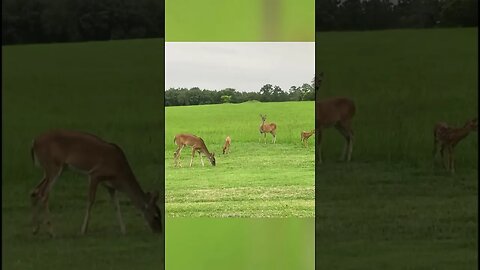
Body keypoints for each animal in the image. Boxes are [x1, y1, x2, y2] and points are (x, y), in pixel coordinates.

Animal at [29, 130, 161, 237]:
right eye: (156, 215)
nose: (159, 231)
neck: (119, 172)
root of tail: (34, 143)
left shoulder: (109, 186)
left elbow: (116, 205)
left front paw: (123, 230)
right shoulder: (94, 174)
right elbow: (91, 201)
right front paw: (83, 231)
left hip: (50, 170)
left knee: (34, 191)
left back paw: (35, 229)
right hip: (53, 166)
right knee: (44, 193)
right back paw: (52, 232)